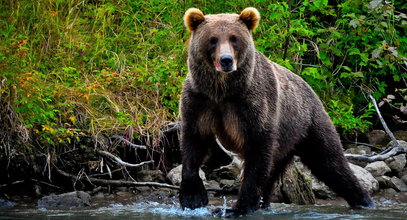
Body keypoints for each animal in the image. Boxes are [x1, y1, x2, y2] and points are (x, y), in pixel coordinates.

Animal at [179, 6, 376, 217]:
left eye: (234, 38)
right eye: (213, 39)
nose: (226, 60)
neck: (222, 90)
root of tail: (311, 89)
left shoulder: (253, 105)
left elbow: (257, 153)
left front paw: (238, 208)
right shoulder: (200, 101)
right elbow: (193, 143)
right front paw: (193, 198)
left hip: (307, 124)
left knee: (330, 162)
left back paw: (364, 201)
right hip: (285, 141)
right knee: (278, 170)